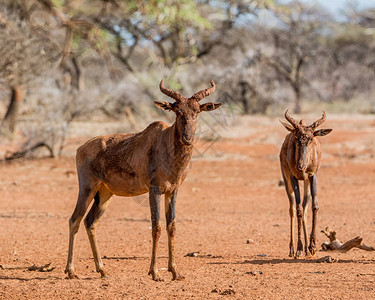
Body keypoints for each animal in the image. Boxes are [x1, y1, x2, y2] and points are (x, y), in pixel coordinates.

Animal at [64, 78, 222, 280]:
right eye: (177, 111)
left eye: (197, 111)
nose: (187, 138)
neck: (164, 142)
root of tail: (80, 148)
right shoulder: (154, 190)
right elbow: (156, 227)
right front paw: (154, 272)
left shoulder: (173, 191)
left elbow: (172, 226)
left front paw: (175, 272)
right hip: (87, 188)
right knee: (74, 220)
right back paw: (71, 271)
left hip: (104, 194)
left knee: (90, 223)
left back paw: (102, 270)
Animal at [280, 110, 334, 258]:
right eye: (296, 137)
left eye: (310, 139)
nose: (300, 167)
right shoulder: (293, 177)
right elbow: (297, 209)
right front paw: (299, 249)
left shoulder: (312, 176)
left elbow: (314, 206)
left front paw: (313, 247)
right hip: (287, 179)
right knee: (292, 208)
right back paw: (292, 249)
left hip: (306, 182)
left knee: (305, 207)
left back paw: (307, 249)